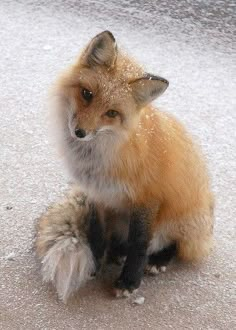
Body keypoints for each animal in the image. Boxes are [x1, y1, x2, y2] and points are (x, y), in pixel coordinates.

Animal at [36, 31, 214, 302]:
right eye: (87, 94)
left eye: (111, 113)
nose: (80, 133)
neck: (100, 155)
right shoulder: (97, 194)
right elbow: (97, 234)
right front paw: (96, 264)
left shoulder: (147, 198)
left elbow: (139, 243)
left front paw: (130, 281)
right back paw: (118, 252)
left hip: (179, 218)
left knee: (177, 245)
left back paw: (159, 259)